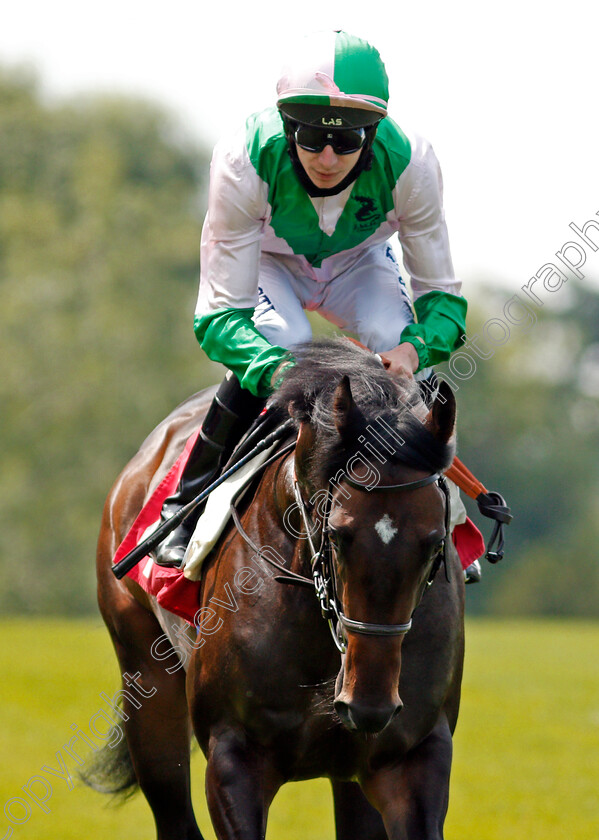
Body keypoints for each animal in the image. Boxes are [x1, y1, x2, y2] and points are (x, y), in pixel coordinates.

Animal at [90, 338, 464, 836]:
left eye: (434, 541)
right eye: (338, 534)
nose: (369, 702)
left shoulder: (410, 756)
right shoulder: (235, 755)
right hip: (147, 685)